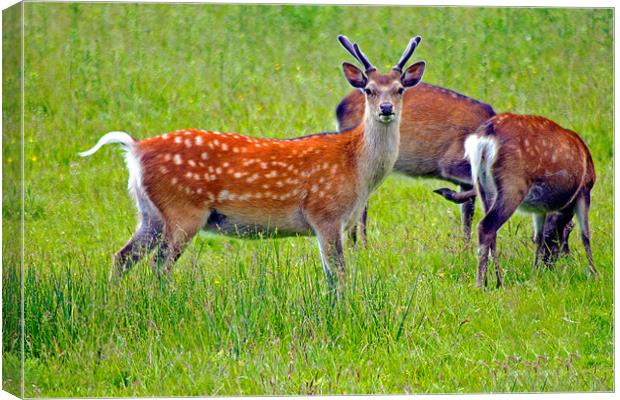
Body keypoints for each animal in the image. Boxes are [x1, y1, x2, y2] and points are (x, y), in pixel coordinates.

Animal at [78, 35, 426, 296]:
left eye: (399, 89)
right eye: (368, 89)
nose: (385, 109)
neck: (357, 168)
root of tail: (135, 149)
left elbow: (332, 274)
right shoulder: (325, 213)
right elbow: (338, 274)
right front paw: (340, 307)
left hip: (148, 213)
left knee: (123, 256)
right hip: (182, 210)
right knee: (159, 265)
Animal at [432, 112, 596, 288]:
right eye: (565, 235)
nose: (549, 265)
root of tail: (485, 136)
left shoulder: (541, 208)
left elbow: (537, 236)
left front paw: (535, 272)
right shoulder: (585, 189)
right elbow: (585, 235)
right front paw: (595, 274)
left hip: (484, 186)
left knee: (492, 231)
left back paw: (496, 281)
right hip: (513, 185)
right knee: (486, 226)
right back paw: (481, 285)